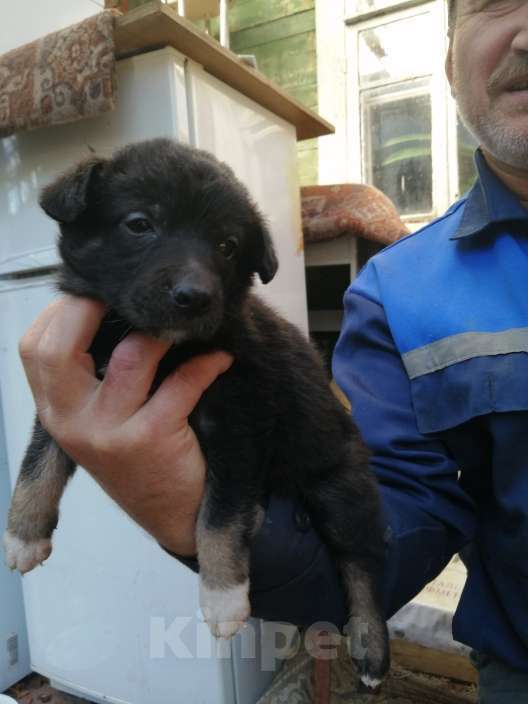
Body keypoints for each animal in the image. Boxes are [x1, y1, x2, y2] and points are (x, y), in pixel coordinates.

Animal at [3, 138, 388, 688]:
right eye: (140, 224)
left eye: (226, 245)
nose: (194, 297)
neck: (151, 343)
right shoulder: (68, 391)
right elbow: (38, 461)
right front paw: (23, 533)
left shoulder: (235, 424)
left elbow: (220, 514)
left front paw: (223, 594)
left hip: (341, 487)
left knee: (362, 563)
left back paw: (370, 647)